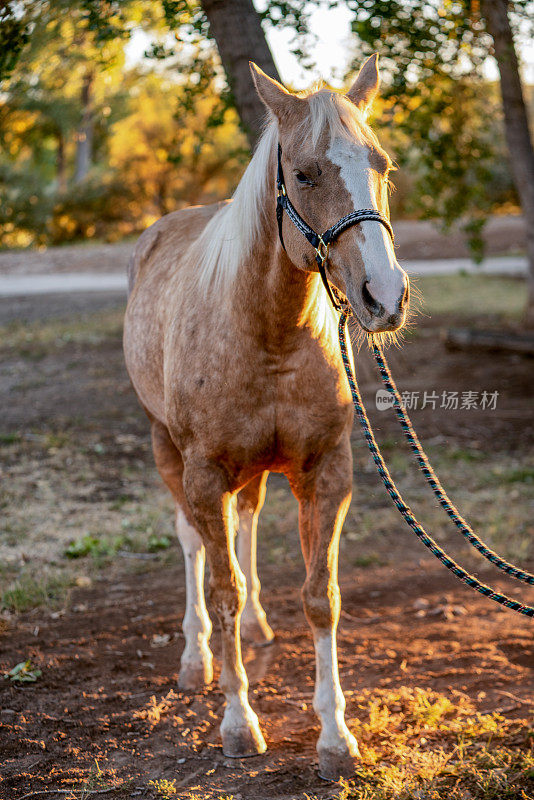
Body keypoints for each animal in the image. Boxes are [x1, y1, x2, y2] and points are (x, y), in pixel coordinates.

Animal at [125, 53, 410, 780]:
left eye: (382, 164)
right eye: (304, 174)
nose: (383, 296)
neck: (270, 332)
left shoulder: (326, 472)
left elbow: (320, 596)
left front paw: (336, 736)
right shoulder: (202, 474)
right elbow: (220, 586)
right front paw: (237, 722)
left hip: (252, 471)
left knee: (245, 521)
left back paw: (256, 627)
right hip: (166, 448)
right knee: (195, 544)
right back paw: (197, 659)